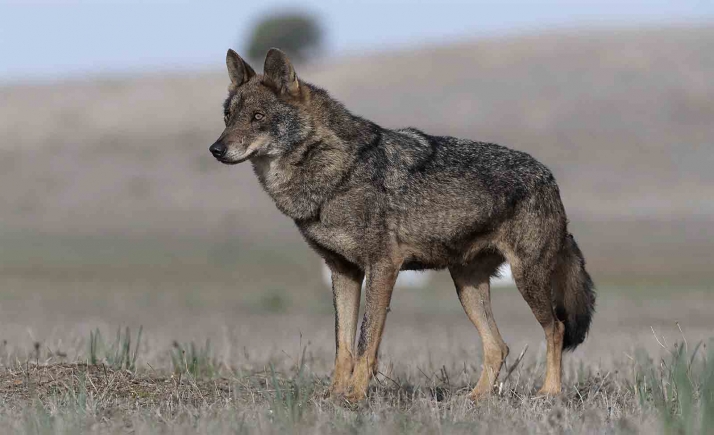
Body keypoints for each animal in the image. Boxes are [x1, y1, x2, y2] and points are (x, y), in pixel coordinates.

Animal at [209, 48, 596, 402]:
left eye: (258, 117)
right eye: (228, 117)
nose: (215, 149)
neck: (333, 170)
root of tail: (549, 177)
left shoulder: (383, 266)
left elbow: (365, 343)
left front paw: (355, 397)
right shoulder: (343, 271)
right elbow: (342, 345)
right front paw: (333, 397)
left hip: (526, 279)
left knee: (556, 329)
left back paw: (550, 393)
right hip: (467, 287)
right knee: (498, 346)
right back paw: (476, 398)